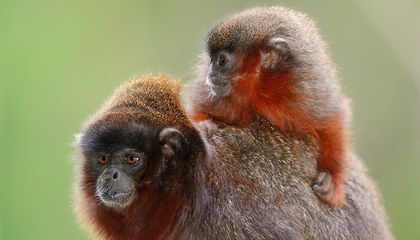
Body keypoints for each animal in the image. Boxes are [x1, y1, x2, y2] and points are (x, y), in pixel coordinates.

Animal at [188, 6, 352, 208]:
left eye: (222, 61)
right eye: (211, 61)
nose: (210, 74)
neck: (263, 90)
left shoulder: (306, 92)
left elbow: (331, 123)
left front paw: (333, 178)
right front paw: (206, 125)